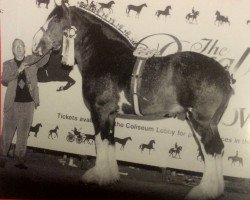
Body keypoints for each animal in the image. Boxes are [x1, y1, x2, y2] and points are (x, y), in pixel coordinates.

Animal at [32, 2, 234, 199]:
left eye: (56, 20)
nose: (36, 46)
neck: (106, 57)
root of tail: (224, 75)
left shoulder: (100, 111)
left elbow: (100, 141)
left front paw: (97, 177)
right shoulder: (111, 114)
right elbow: (110, 141)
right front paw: (110, 177)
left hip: (200, 121)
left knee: (211, 149)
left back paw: (204, 191)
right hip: (211, 122)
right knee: (219, 148)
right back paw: (216, 190)